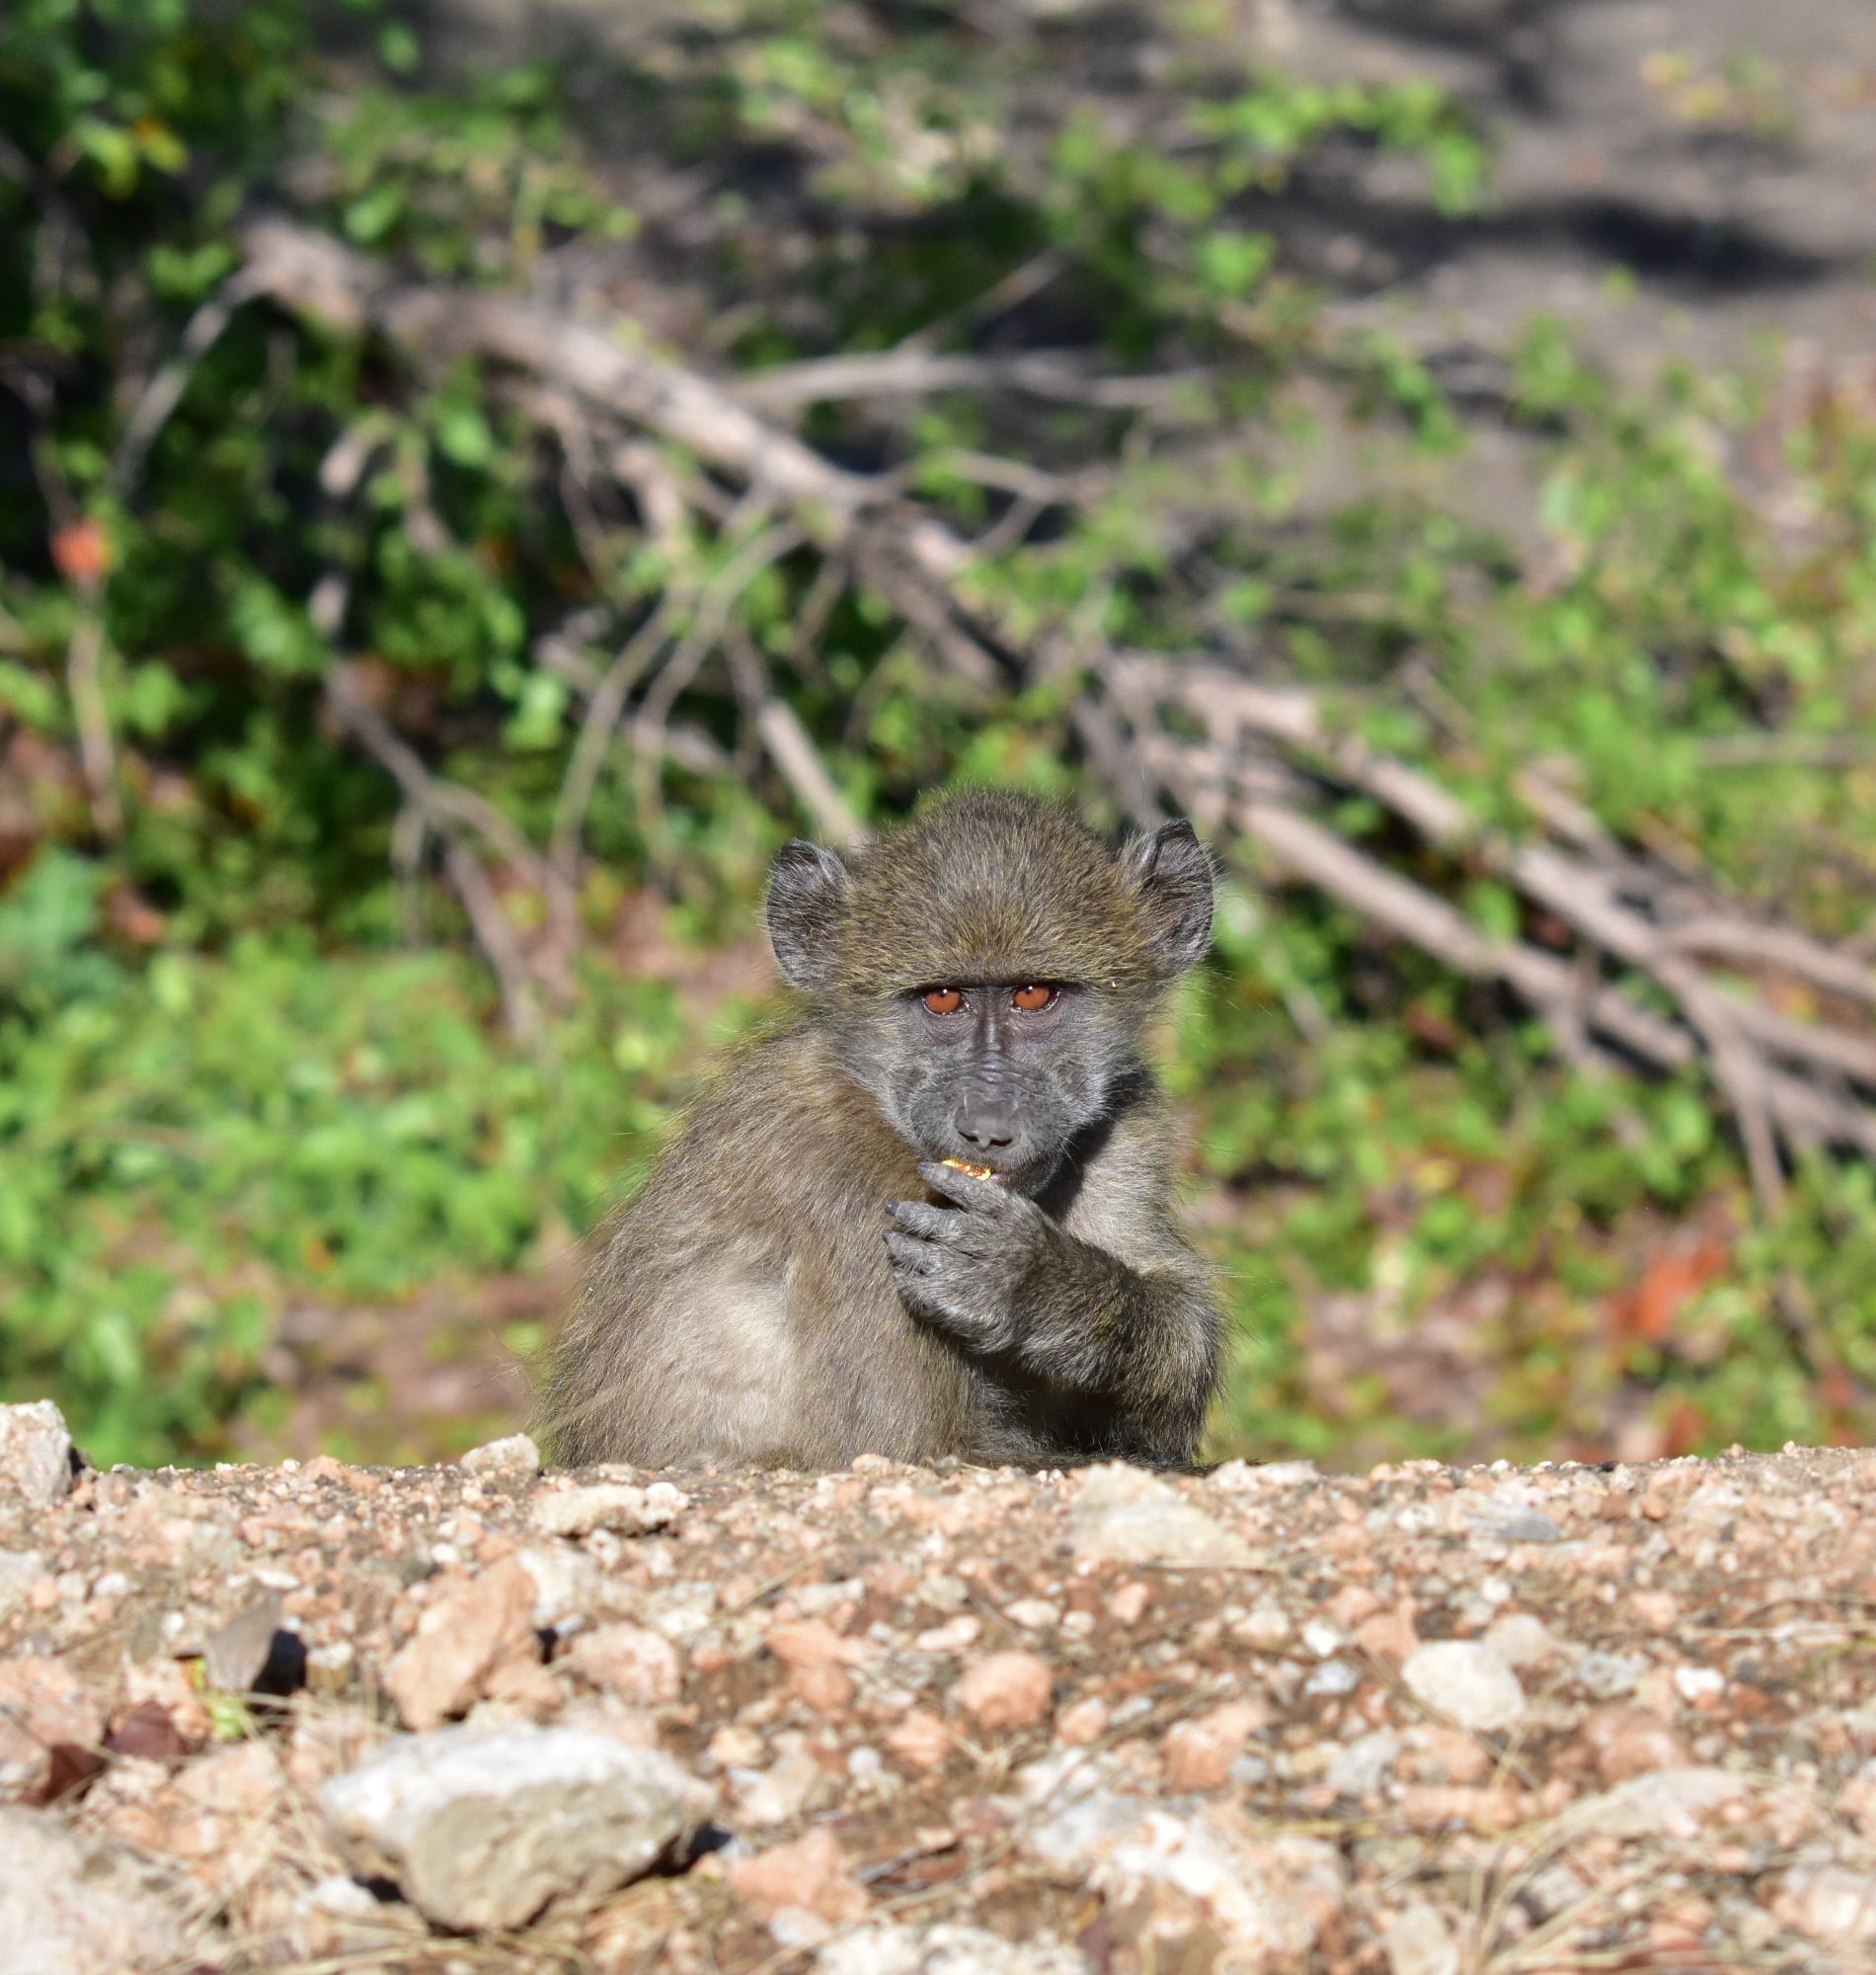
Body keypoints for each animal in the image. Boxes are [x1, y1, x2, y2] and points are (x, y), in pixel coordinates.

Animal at [541, 788, 1223, 1473]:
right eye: (943, 999)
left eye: (1033, 994)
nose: (987, 1128)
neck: (873, 1103)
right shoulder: (848, 1201)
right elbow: (912, 1449)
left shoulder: (1126, 1122)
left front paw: (1033, 1282)